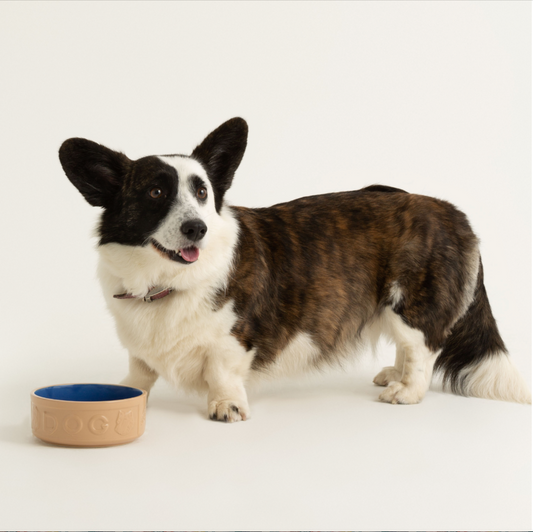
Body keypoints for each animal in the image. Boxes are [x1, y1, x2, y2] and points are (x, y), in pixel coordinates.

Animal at [57, 116, 528, 420]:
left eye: (203, 192)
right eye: (155, 192)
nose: (197, 228)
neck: (163, 282)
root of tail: (452, 212)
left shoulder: (234, 338)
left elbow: (222, 371)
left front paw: (226, 406)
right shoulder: (139, 347)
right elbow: (140, 372)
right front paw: (129, 392)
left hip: (409, 304)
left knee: (423, 348)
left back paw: (406, 391)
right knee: (409, 348)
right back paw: (393, 374)